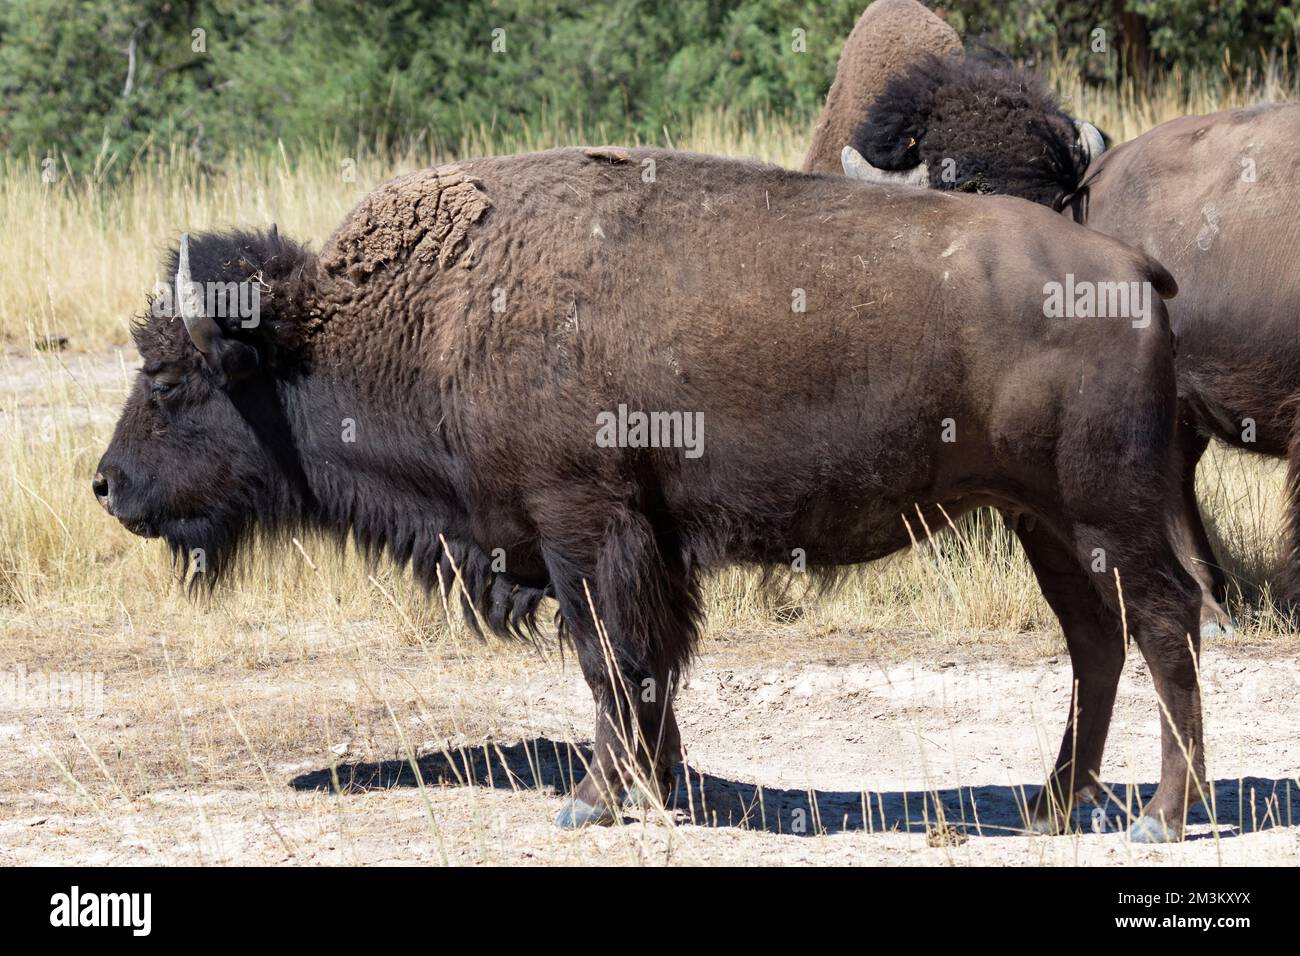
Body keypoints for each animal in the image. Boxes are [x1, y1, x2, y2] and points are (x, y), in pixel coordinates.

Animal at [97, 147, 1202, 840]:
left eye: (169, 378)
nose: (107, 485)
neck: (440, 313)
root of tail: (1130, 265)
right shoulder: (651, 547)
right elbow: (654, 664)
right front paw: (663, 788)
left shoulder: (585, 528)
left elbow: (606, 659)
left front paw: (593, 800)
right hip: (1043, 522)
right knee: (1095, 639)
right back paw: (1054, 805)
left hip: (1108, 513)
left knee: (1162, 621)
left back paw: (1160, 815)